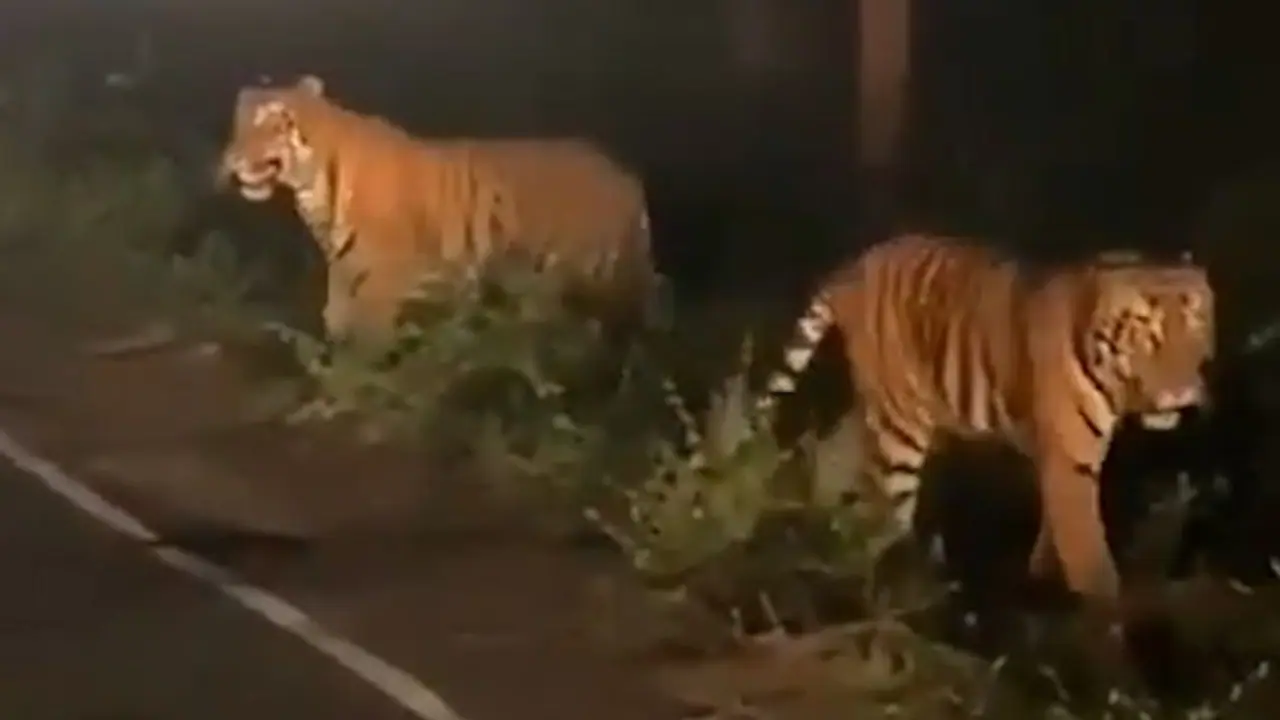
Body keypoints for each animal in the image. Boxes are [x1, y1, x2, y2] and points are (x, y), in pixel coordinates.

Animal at [214, 74, 659, 347]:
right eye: (238, 123)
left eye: (271, 124)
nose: (232, 159)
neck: (314, 190)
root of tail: (624, 174)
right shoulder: (345, 274)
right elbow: (335, 320)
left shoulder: (384, 284)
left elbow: (367, 348)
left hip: (574, 277)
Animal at [753, 233, 1215, 611]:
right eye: (1147, 331)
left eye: (1196, 325)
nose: (1182, 391)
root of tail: (857, 265)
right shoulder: (1071, 463)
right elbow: (1090, 557)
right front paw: (1107, 621)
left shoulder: (1061, 461)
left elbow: (1055, 539)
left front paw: (1043, 587)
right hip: (899, 426)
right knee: (884, 507)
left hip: (879, 413)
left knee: (839, 459)